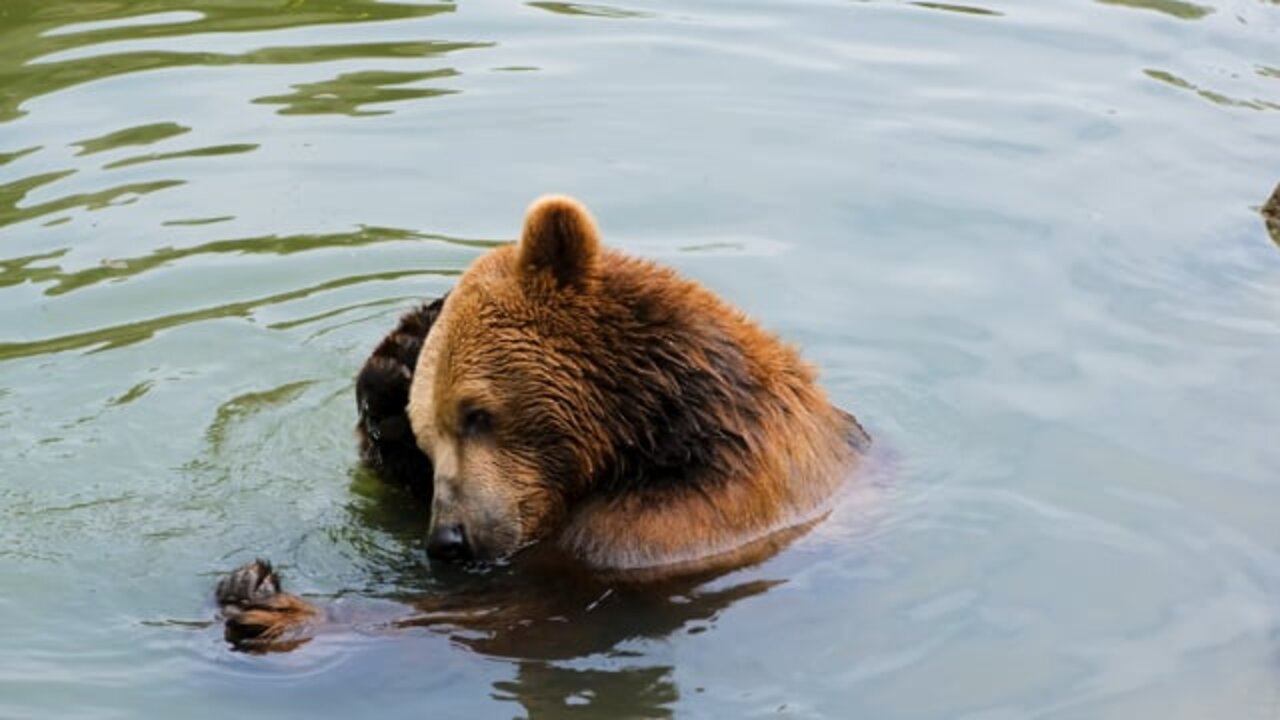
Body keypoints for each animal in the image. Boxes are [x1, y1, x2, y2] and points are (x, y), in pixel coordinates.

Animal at [215, 196, 870, 650]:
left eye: (476, 414)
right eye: (429, 437)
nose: (449, 539)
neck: (649, 436)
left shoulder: (678, 525)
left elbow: (524, 609)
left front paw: (273, 607)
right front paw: (397, 358)